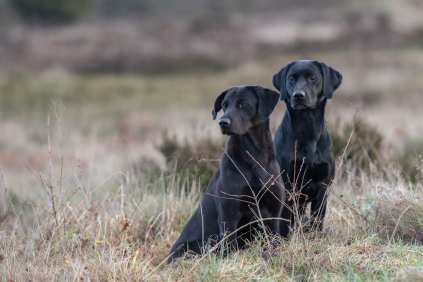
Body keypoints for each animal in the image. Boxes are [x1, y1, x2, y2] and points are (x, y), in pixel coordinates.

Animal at [168, 85, 284, 264]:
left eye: (243, 103)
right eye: (224, 104)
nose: (223, 122)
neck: (255, 157)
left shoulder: (273, 215)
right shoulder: (228, 217)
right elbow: (229, 248)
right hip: (203, 244)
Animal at [272, 60, 344, 238]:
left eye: (313, 77)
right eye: (291, 78)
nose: (298, 95)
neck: (308, 129)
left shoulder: (323, 188)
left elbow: (317, 221)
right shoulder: (288, 185)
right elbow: (284, 223)